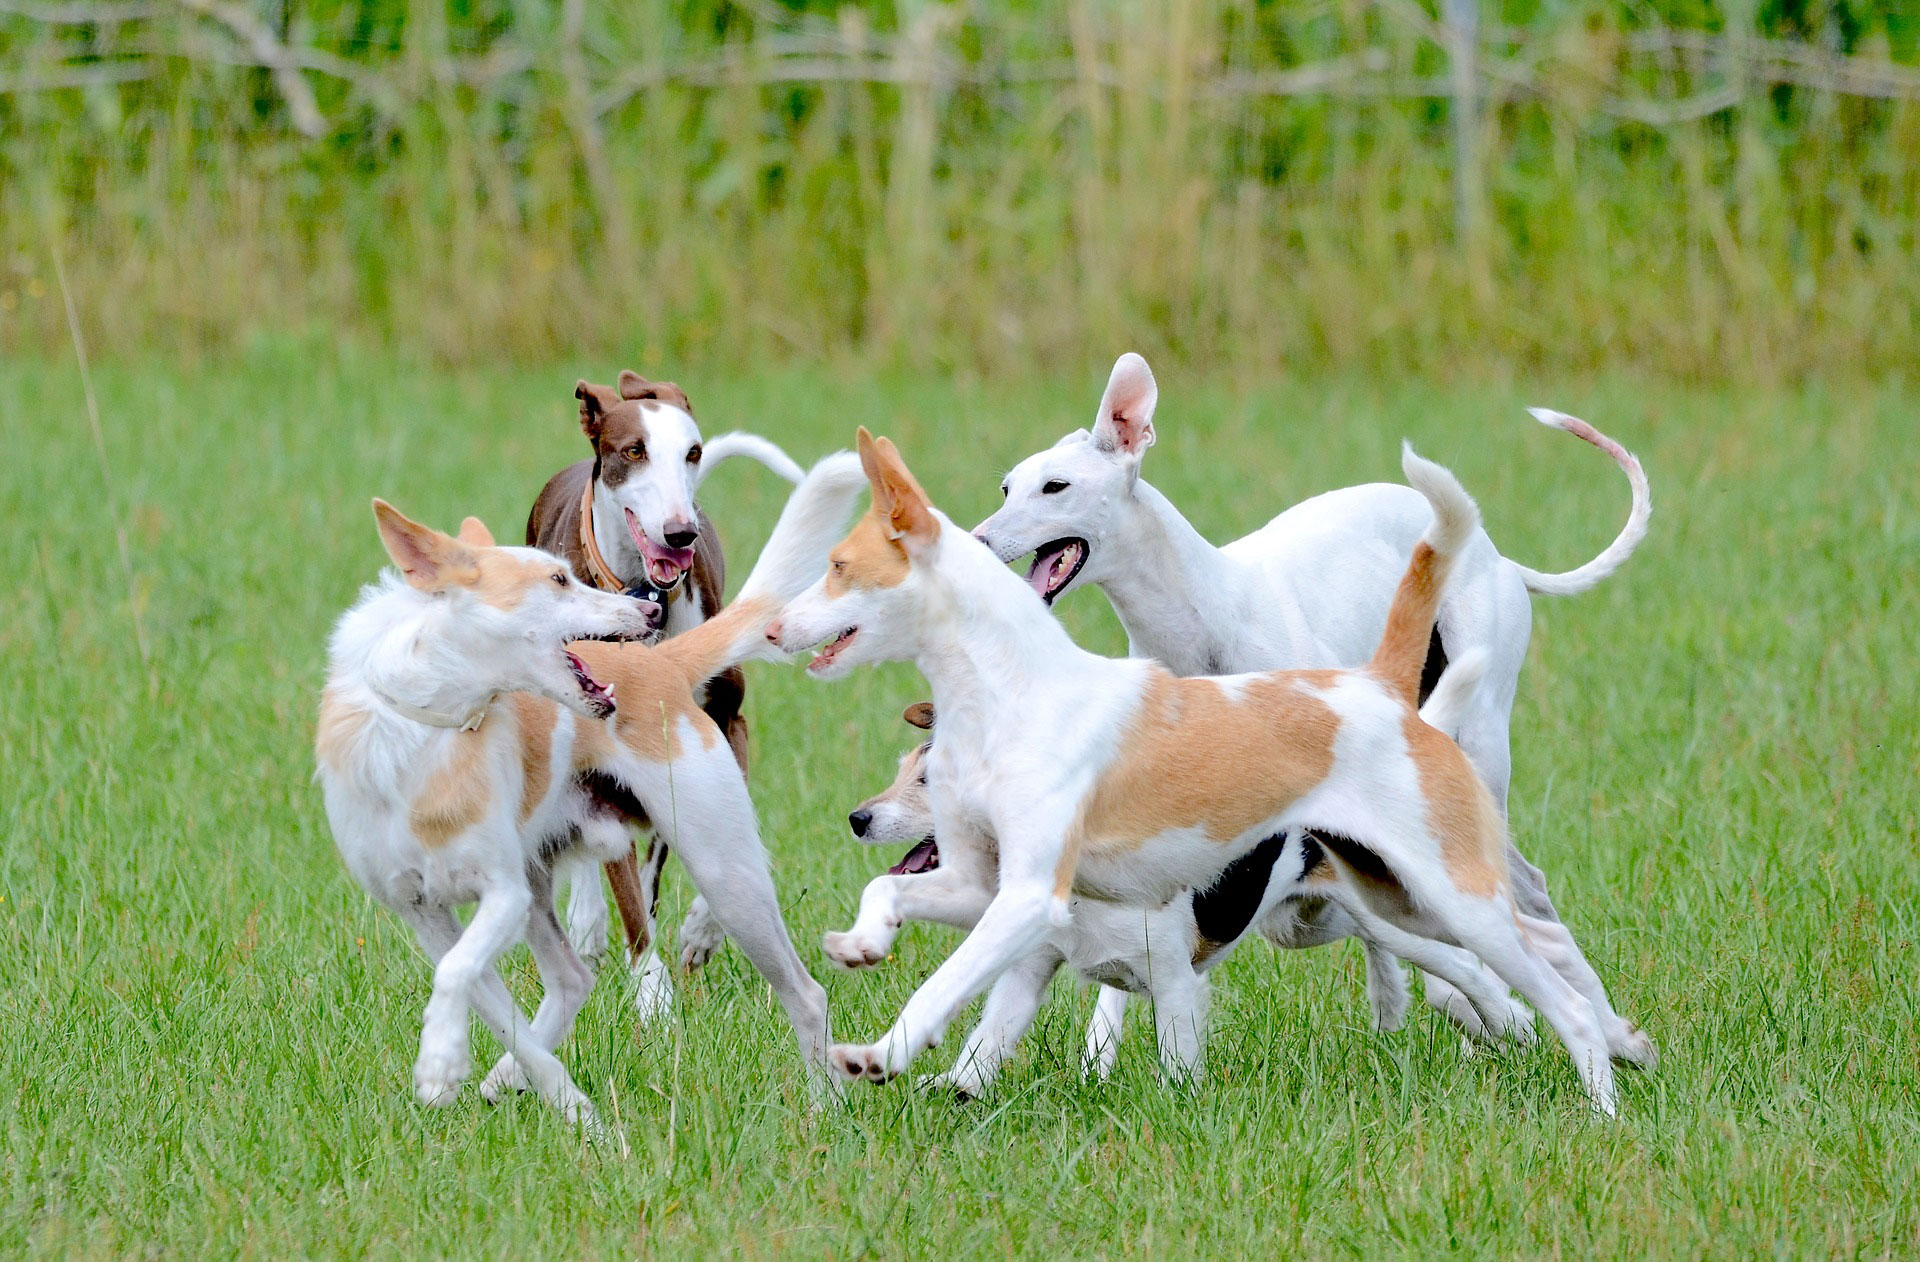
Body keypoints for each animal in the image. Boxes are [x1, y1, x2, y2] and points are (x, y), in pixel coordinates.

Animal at [316, 453, 864, 1121]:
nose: (648, 610)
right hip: (546, 880)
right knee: (570, 981)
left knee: (805, 993)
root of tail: (660, 662)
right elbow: (484, 996)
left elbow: (457, 977)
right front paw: (513, 1084)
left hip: (722, 870)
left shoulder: (502, 892)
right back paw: (533, 1089)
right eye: (558, 579)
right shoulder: (423, 911)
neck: (429, 730)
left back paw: (824, 1109)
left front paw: (440, 1063)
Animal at [526, 370, 802, 1014]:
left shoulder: (723, 722)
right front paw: (651, 993)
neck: (644, 597)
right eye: (634, 451)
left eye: (692, 453)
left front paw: (703, 931)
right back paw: (587, 923)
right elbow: (628, 889)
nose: (681, 532)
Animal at [848, 679, 1489, 1091]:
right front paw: (953, 1086)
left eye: (929, 781)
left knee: (1464, 965)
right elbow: (985, 1044)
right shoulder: (1028, 971)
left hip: (1384, 922)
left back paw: (1498, 1026)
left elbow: (1178, 1068)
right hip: (1308, 921)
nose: (857, 818)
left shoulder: (1176, 983)